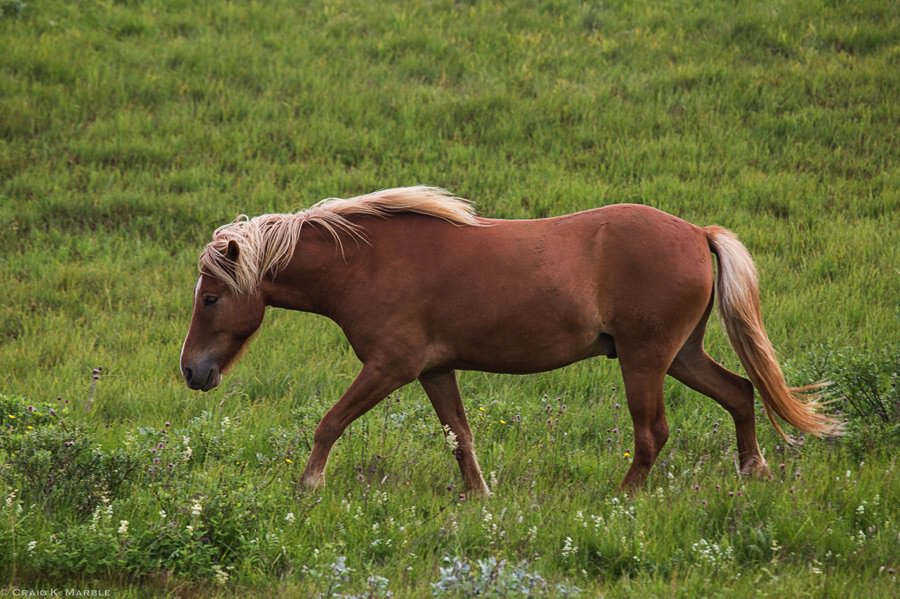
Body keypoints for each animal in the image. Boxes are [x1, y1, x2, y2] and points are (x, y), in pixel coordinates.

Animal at [181, 188, 844, 496]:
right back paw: (753, 471)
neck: (367, 263)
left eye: (210, 298)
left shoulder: (390, 367)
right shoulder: (433, 370)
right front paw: (480, 496)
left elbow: (329, 422)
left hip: (645, 359)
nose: (191, 372)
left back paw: (622, 497)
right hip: (680, 355)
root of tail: (696, 233)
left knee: (654, 433)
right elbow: (460, 437)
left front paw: (309, 486)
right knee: (739, 392)